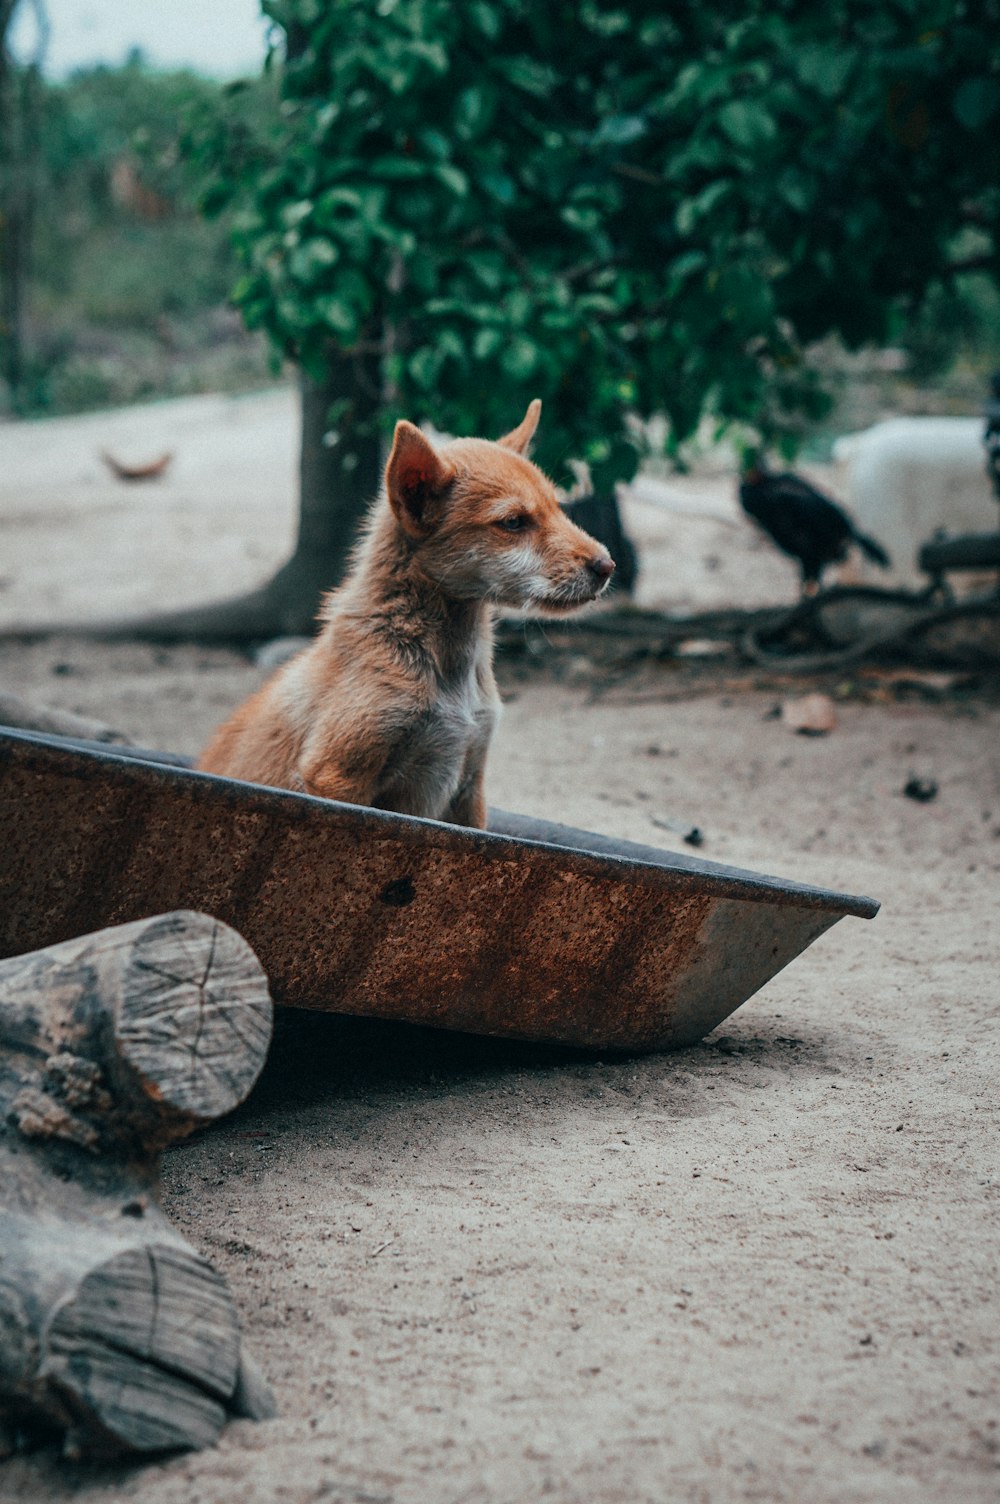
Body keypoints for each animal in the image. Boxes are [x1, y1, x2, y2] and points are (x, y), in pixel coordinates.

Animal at [196, 400, 607, 824]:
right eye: (513, 522)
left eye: (558, 508)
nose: (607, 566)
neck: (444, 669)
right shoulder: (338, 774)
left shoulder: (469, 783)